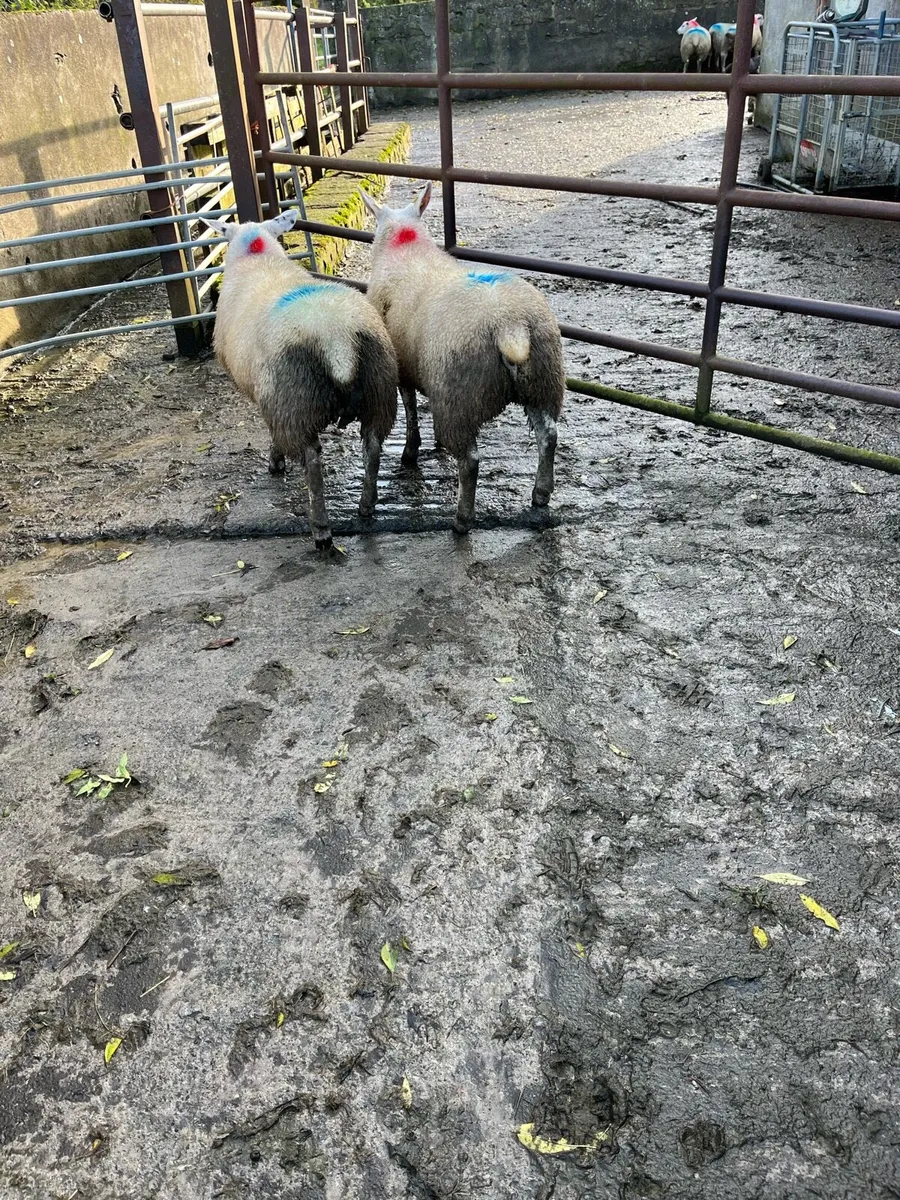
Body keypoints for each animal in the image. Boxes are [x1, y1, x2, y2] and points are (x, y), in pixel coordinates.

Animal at [204, 209, 398, 550]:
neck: (258, 257)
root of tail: (336, 337)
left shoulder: (271, 398)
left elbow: (271, 433)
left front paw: (275, 461)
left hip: (294, 401)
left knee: (312, 461)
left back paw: (321, 530)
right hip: (379, 388)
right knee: (373, 448)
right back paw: (366, 506)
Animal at [360, 182, 565, 535]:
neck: (405, 246)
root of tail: (508, 325)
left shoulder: (402, 367)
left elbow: (410, 406)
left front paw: (411, 450)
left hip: (460, 396)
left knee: (470, 461)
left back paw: (461, 519)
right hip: (543, 381)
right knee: (548, 437)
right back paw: (540, 493)